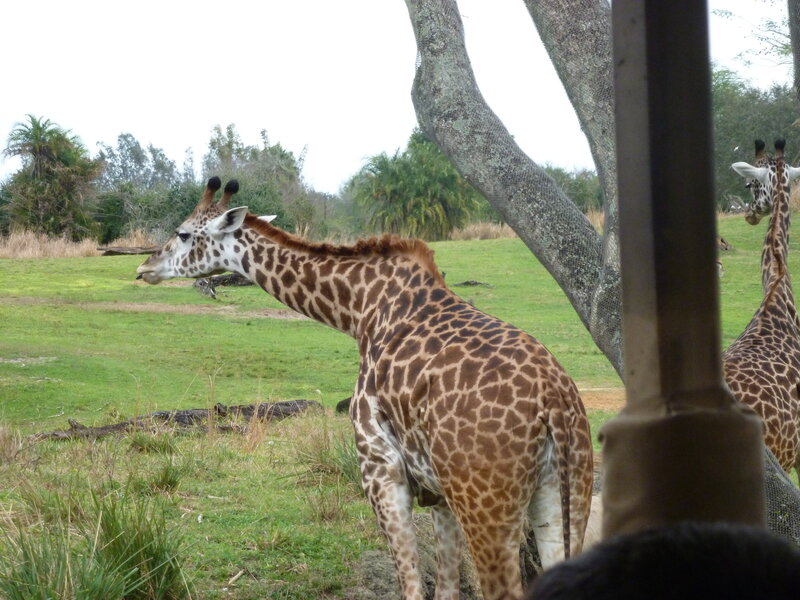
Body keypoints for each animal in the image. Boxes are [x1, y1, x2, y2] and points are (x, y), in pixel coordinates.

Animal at [136, 177, 594, 600]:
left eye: (182, 233)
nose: (145, 268)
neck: (359, 310)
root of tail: (555, 402)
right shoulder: (439, 493)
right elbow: (446, 587)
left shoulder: (380, 468)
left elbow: (412, 587)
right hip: (566, 495)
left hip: (486, 505)